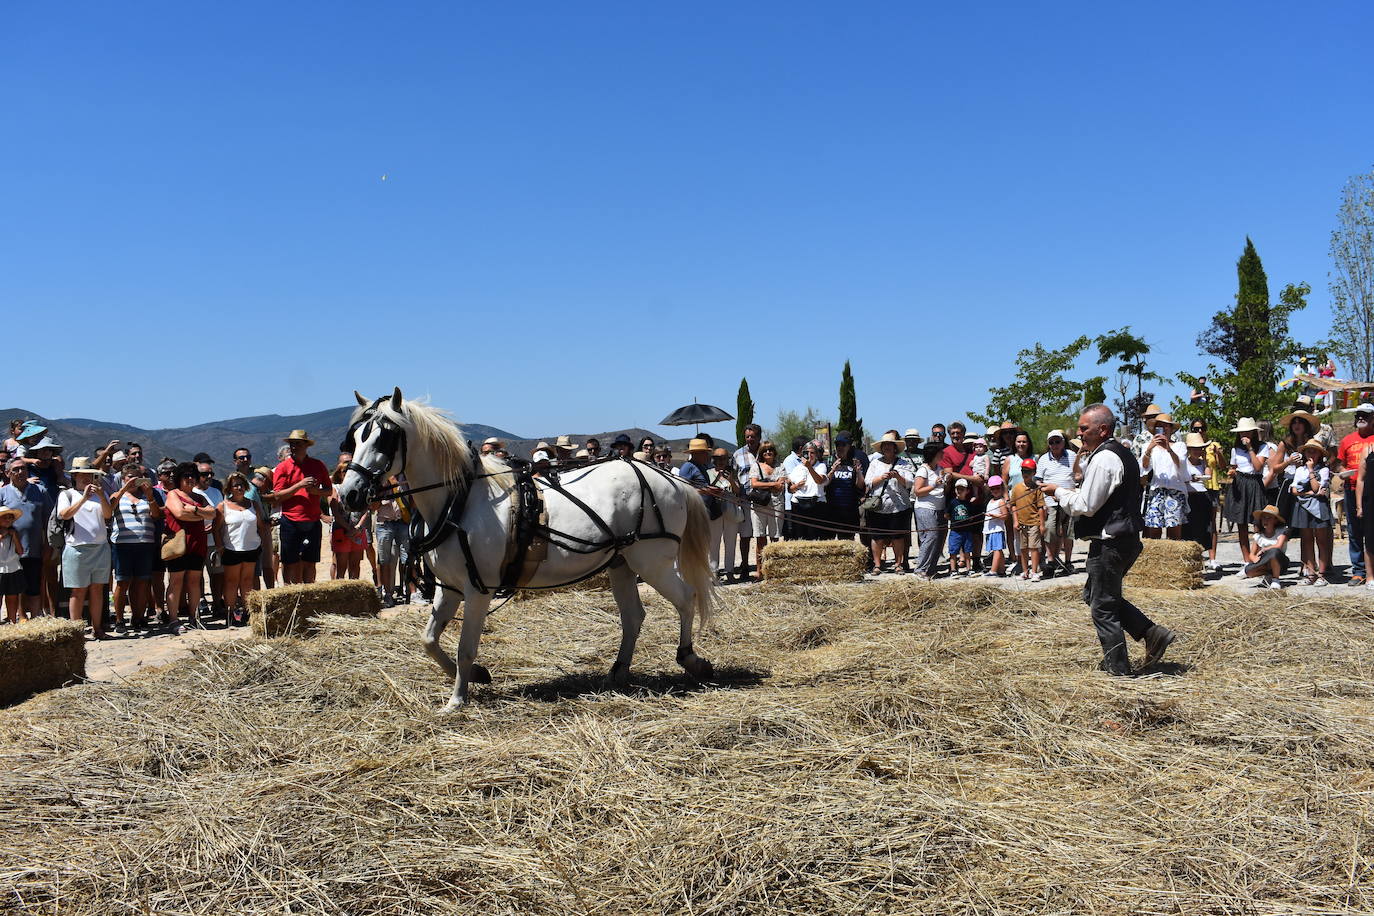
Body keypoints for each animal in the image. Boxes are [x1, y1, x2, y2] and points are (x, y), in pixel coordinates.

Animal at [336, 390, 714, 714]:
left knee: (686, 598)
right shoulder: (449, 587)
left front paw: (457, 700)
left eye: (383, 438)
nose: (349, 494)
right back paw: (618, 671)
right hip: (621, 563)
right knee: (633, 616)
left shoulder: (477, 589)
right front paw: (477, 676)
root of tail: (669, 479)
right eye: (355, 439)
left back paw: (691, 659)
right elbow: (429, 639)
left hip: (652, 561)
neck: (460, 500)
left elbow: (465, 647)